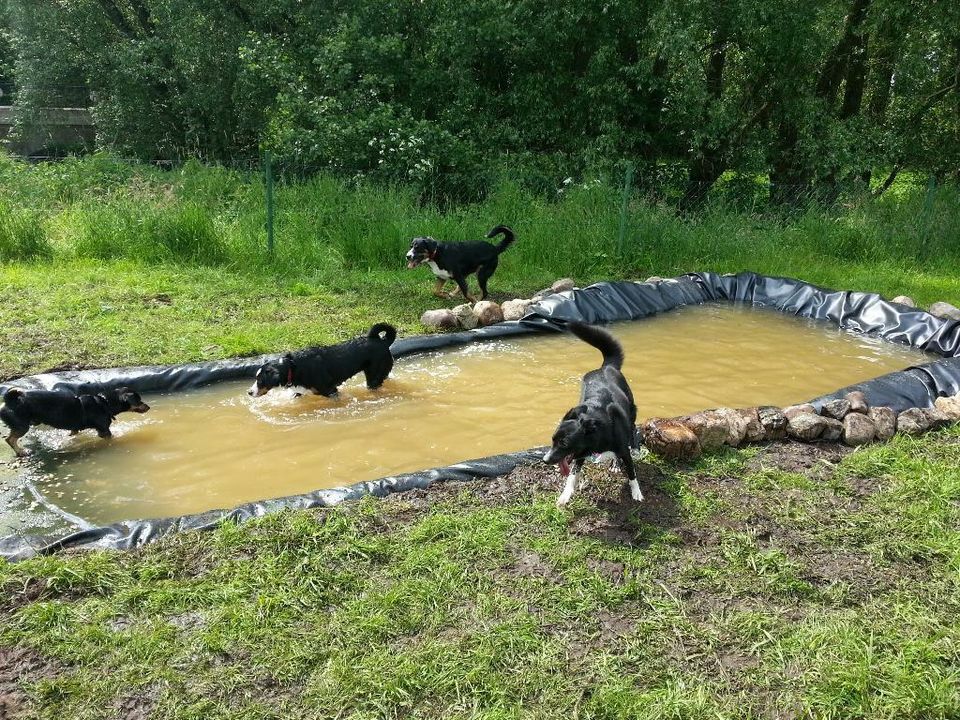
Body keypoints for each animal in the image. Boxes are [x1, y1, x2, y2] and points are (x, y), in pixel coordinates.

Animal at [1, 386, 150, 458]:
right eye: (138, 400)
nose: (148, 407)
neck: (105, 402)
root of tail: (9, 401)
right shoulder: (104, 431)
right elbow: (111, 438)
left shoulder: (74, 428)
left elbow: (73, 434)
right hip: (22, 426)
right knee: (9, 439)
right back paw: (21, 452)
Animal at [251, 322, 398, 396]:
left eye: (260, 380)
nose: (249, 392)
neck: (293, 366)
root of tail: (383, 342)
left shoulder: (330, 390)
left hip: (374, 377)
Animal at [544, 324, 640, 504]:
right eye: (552, 440)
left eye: (564, 443)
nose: (545, 460)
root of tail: (606, 367)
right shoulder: (579, 454)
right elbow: (573, 474)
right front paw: (565, 495)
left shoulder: (623, 450)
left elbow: (632, 473)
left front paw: (637, 493)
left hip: (631, 411)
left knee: (633, 427)